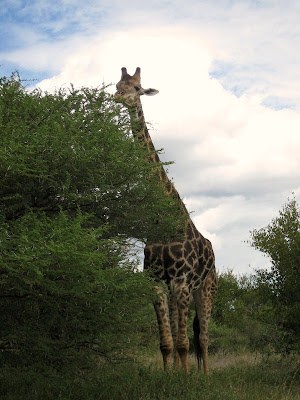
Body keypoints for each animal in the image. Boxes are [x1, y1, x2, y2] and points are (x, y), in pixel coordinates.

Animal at [115, 66, 218, 376]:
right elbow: (167, 343)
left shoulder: (183, 284)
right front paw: (169, 377)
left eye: (137, 88)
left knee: (204, 338)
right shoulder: (158, 284)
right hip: (177, 293)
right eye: (117, 85)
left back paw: (205, 377)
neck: (162, 219)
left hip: (206, 290)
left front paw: (185, 380)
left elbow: (185, 343)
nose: (118, 97)